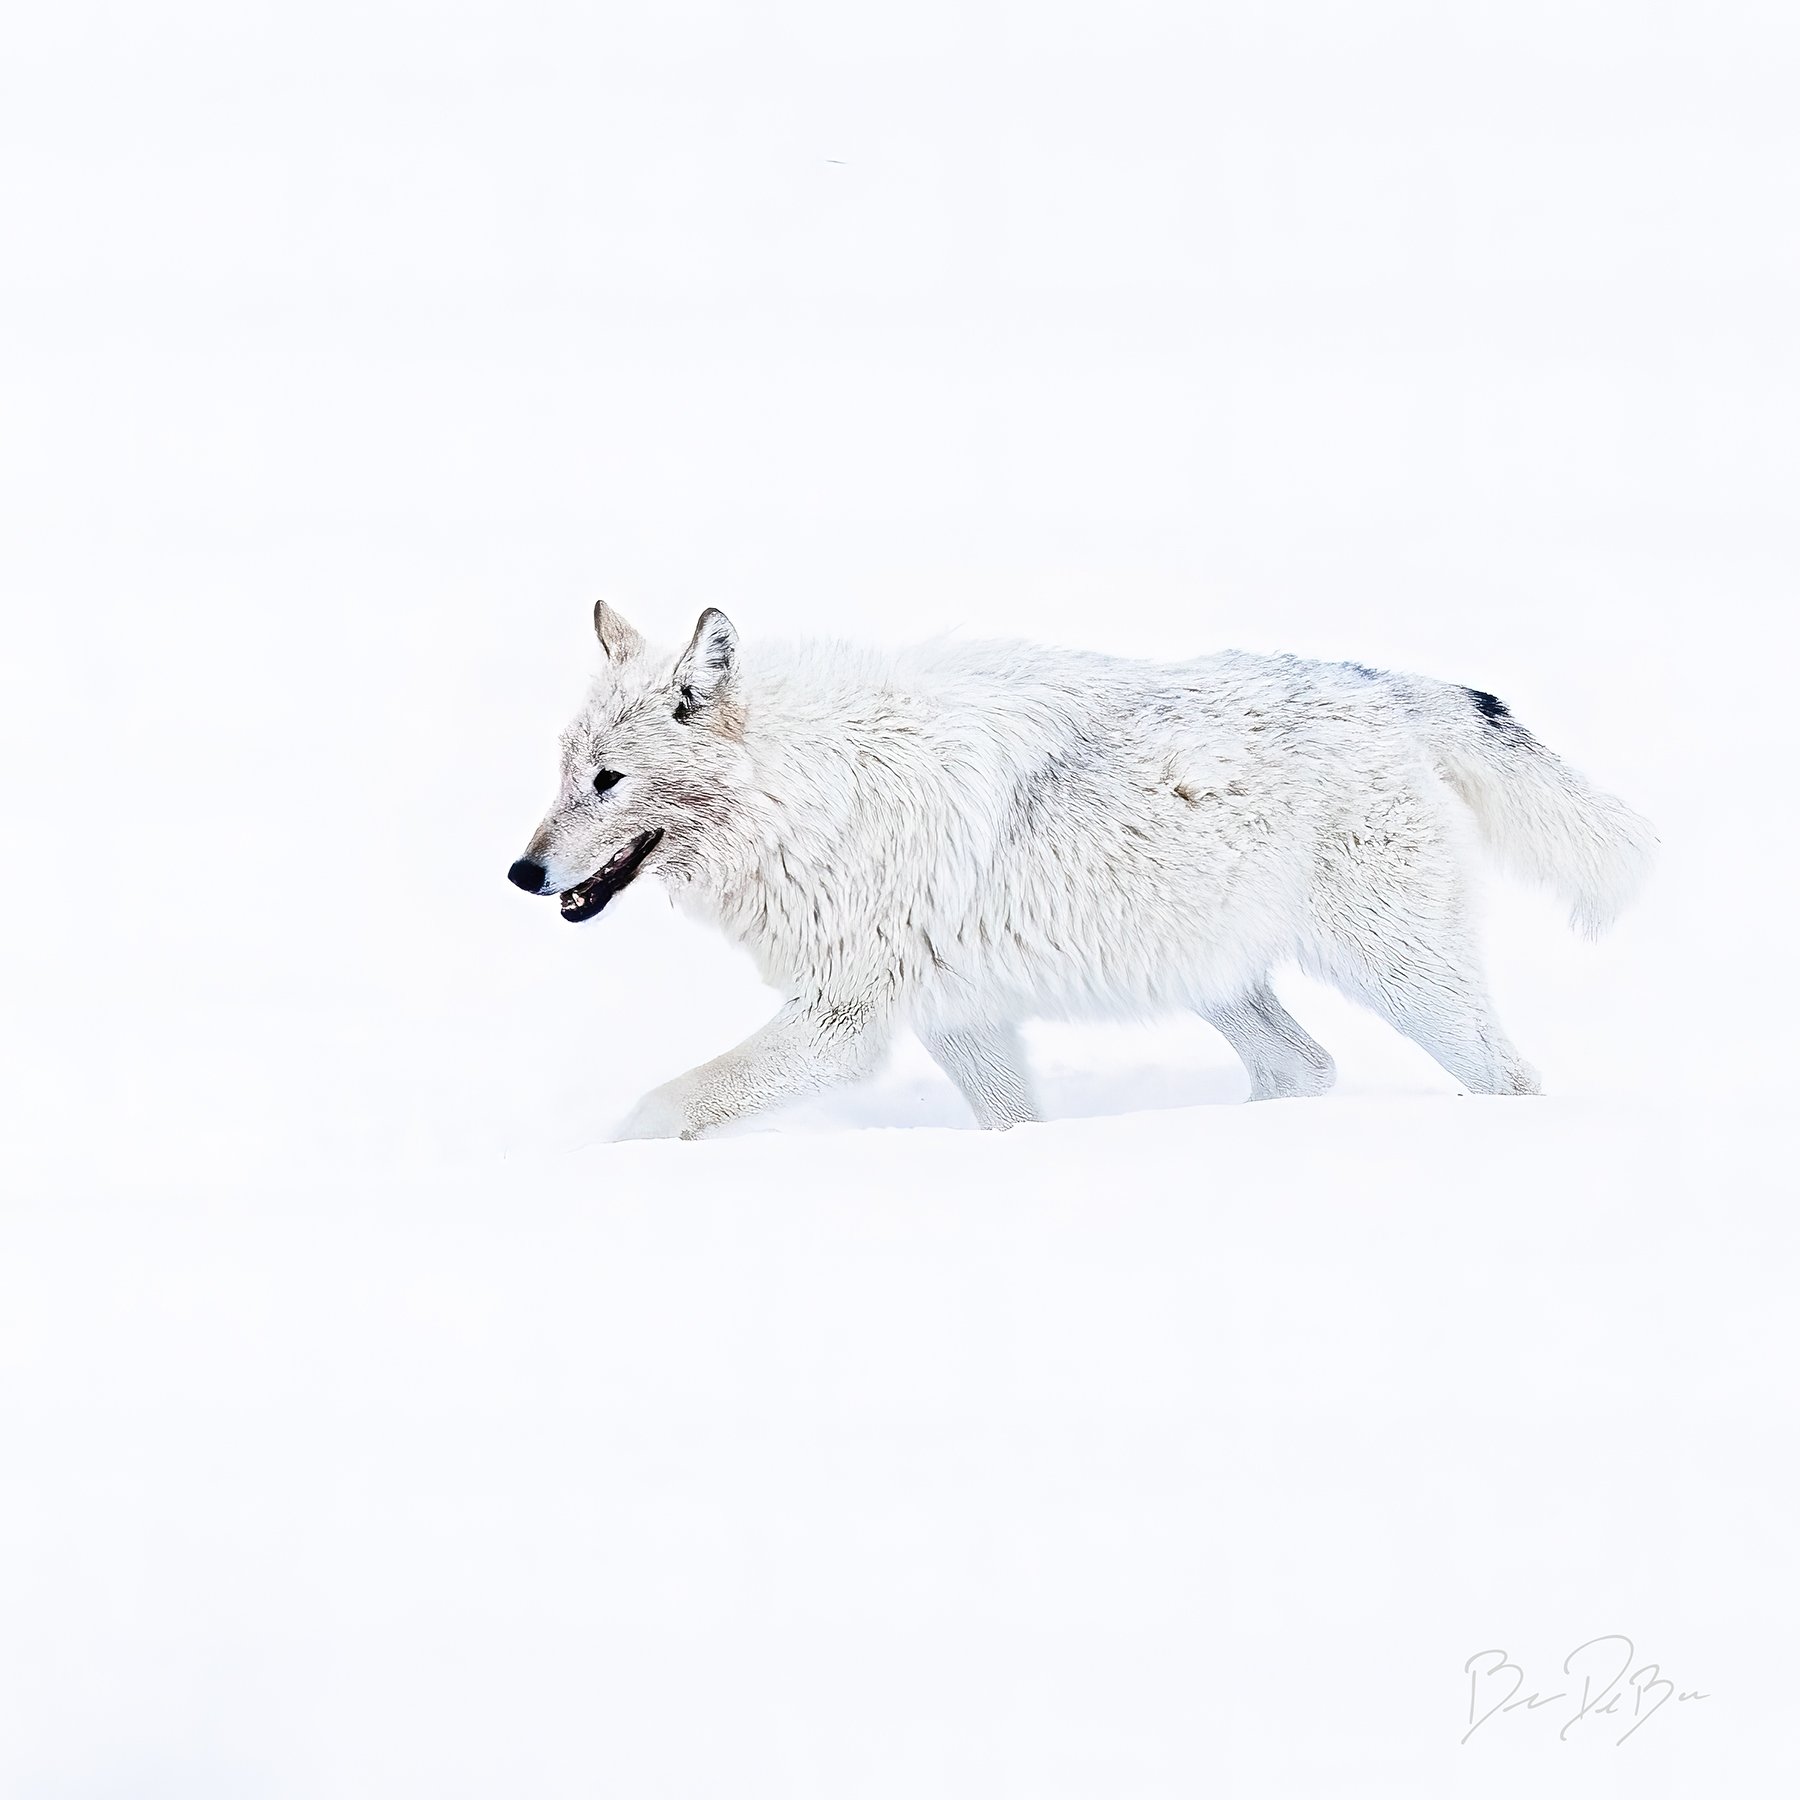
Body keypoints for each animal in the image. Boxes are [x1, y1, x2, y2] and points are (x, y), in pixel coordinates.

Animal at [509, 601, 1656, 1140]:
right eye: (563, 771)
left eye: (609, 780)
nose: (521, 872)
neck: (818, 794)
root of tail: (1382, 685)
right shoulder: (959, 1019)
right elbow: (1013, 1124)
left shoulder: (843, 1023)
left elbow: (661, 1110)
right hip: (1219, 980)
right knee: (1305, 1067)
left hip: (1405, 980)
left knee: (1507, 1077)